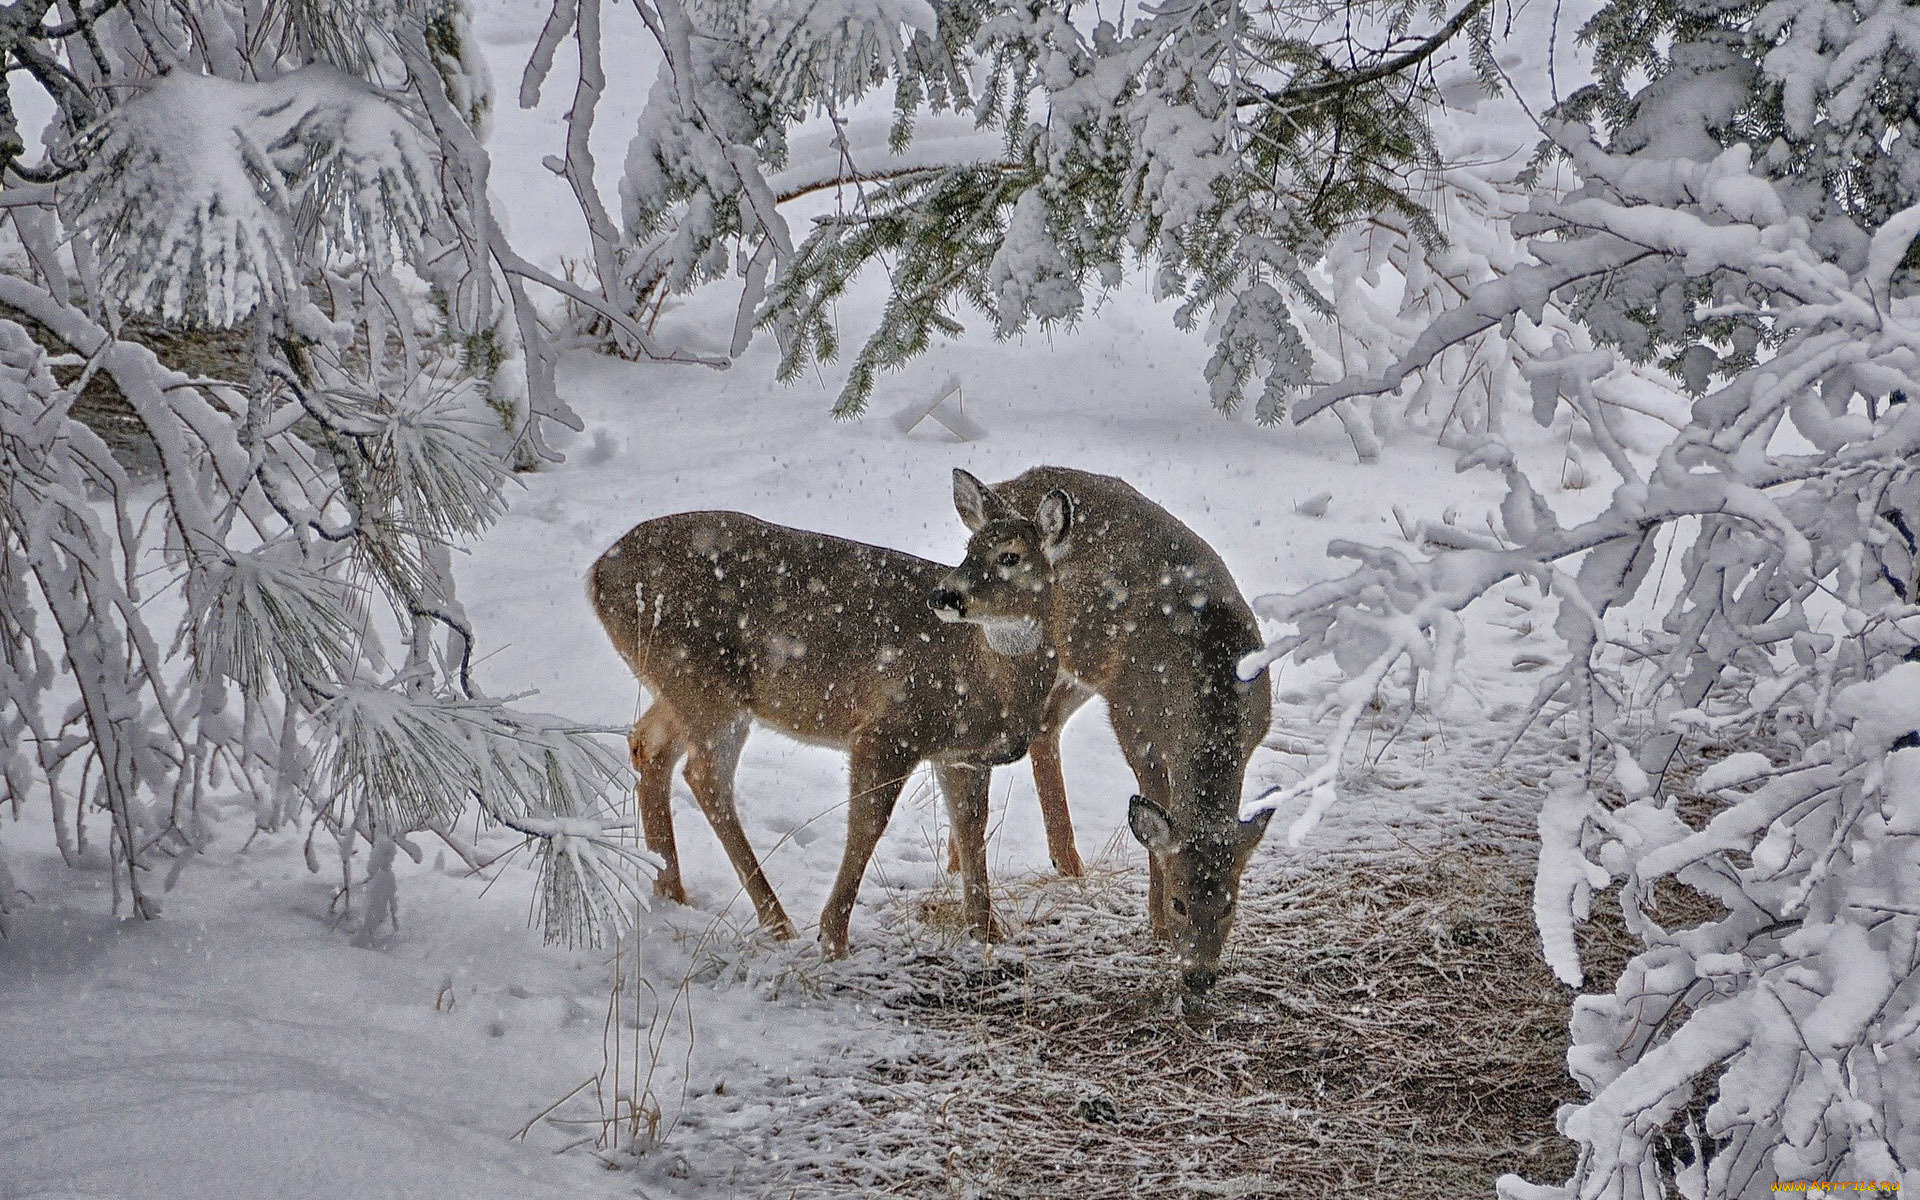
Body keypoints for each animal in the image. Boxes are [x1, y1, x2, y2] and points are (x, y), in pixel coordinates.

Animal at [579, 495, 1082, 956]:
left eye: (1009, 555)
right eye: (969, 548)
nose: (945, 596)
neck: (988, 677)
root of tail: (597, 575)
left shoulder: (962, 755)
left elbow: (971, 829)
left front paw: (989, 933)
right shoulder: (888, 728)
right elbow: (867, 823)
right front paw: (833, 936)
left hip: (681, 685)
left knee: (647, 744)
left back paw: (671, 892)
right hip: (703, 681)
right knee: (705, 776)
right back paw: (777, 921)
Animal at [929, 462, 1274, 990]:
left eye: (1229, 906)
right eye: (1180, 902)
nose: (1199, 976)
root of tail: (1008, 486)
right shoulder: (1134, 722)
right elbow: (1154, 820)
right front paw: (1155, 923)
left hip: (1082, 665)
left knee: (1045, 725)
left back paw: (1061, 861)